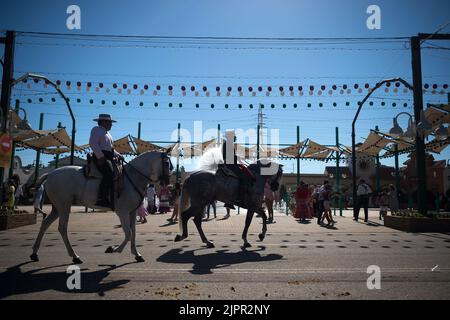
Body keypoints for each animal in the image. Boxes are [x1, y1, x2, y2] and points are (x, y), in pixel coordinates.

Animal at [29, 151, 173, 264]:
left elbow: (133, 233)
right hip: (64, 206)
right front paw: (114, 249)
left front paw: (136, 254)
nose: (167, 182)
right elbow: (128, 234)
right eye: (166, 163)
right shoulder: (123, 212)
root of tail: (50, 174)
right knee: (62, 228)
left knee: (45, 223)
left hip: (57, 208)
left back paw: (35, 253)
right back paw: (75, 256)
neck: (132, 177)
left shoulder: (132, 212)